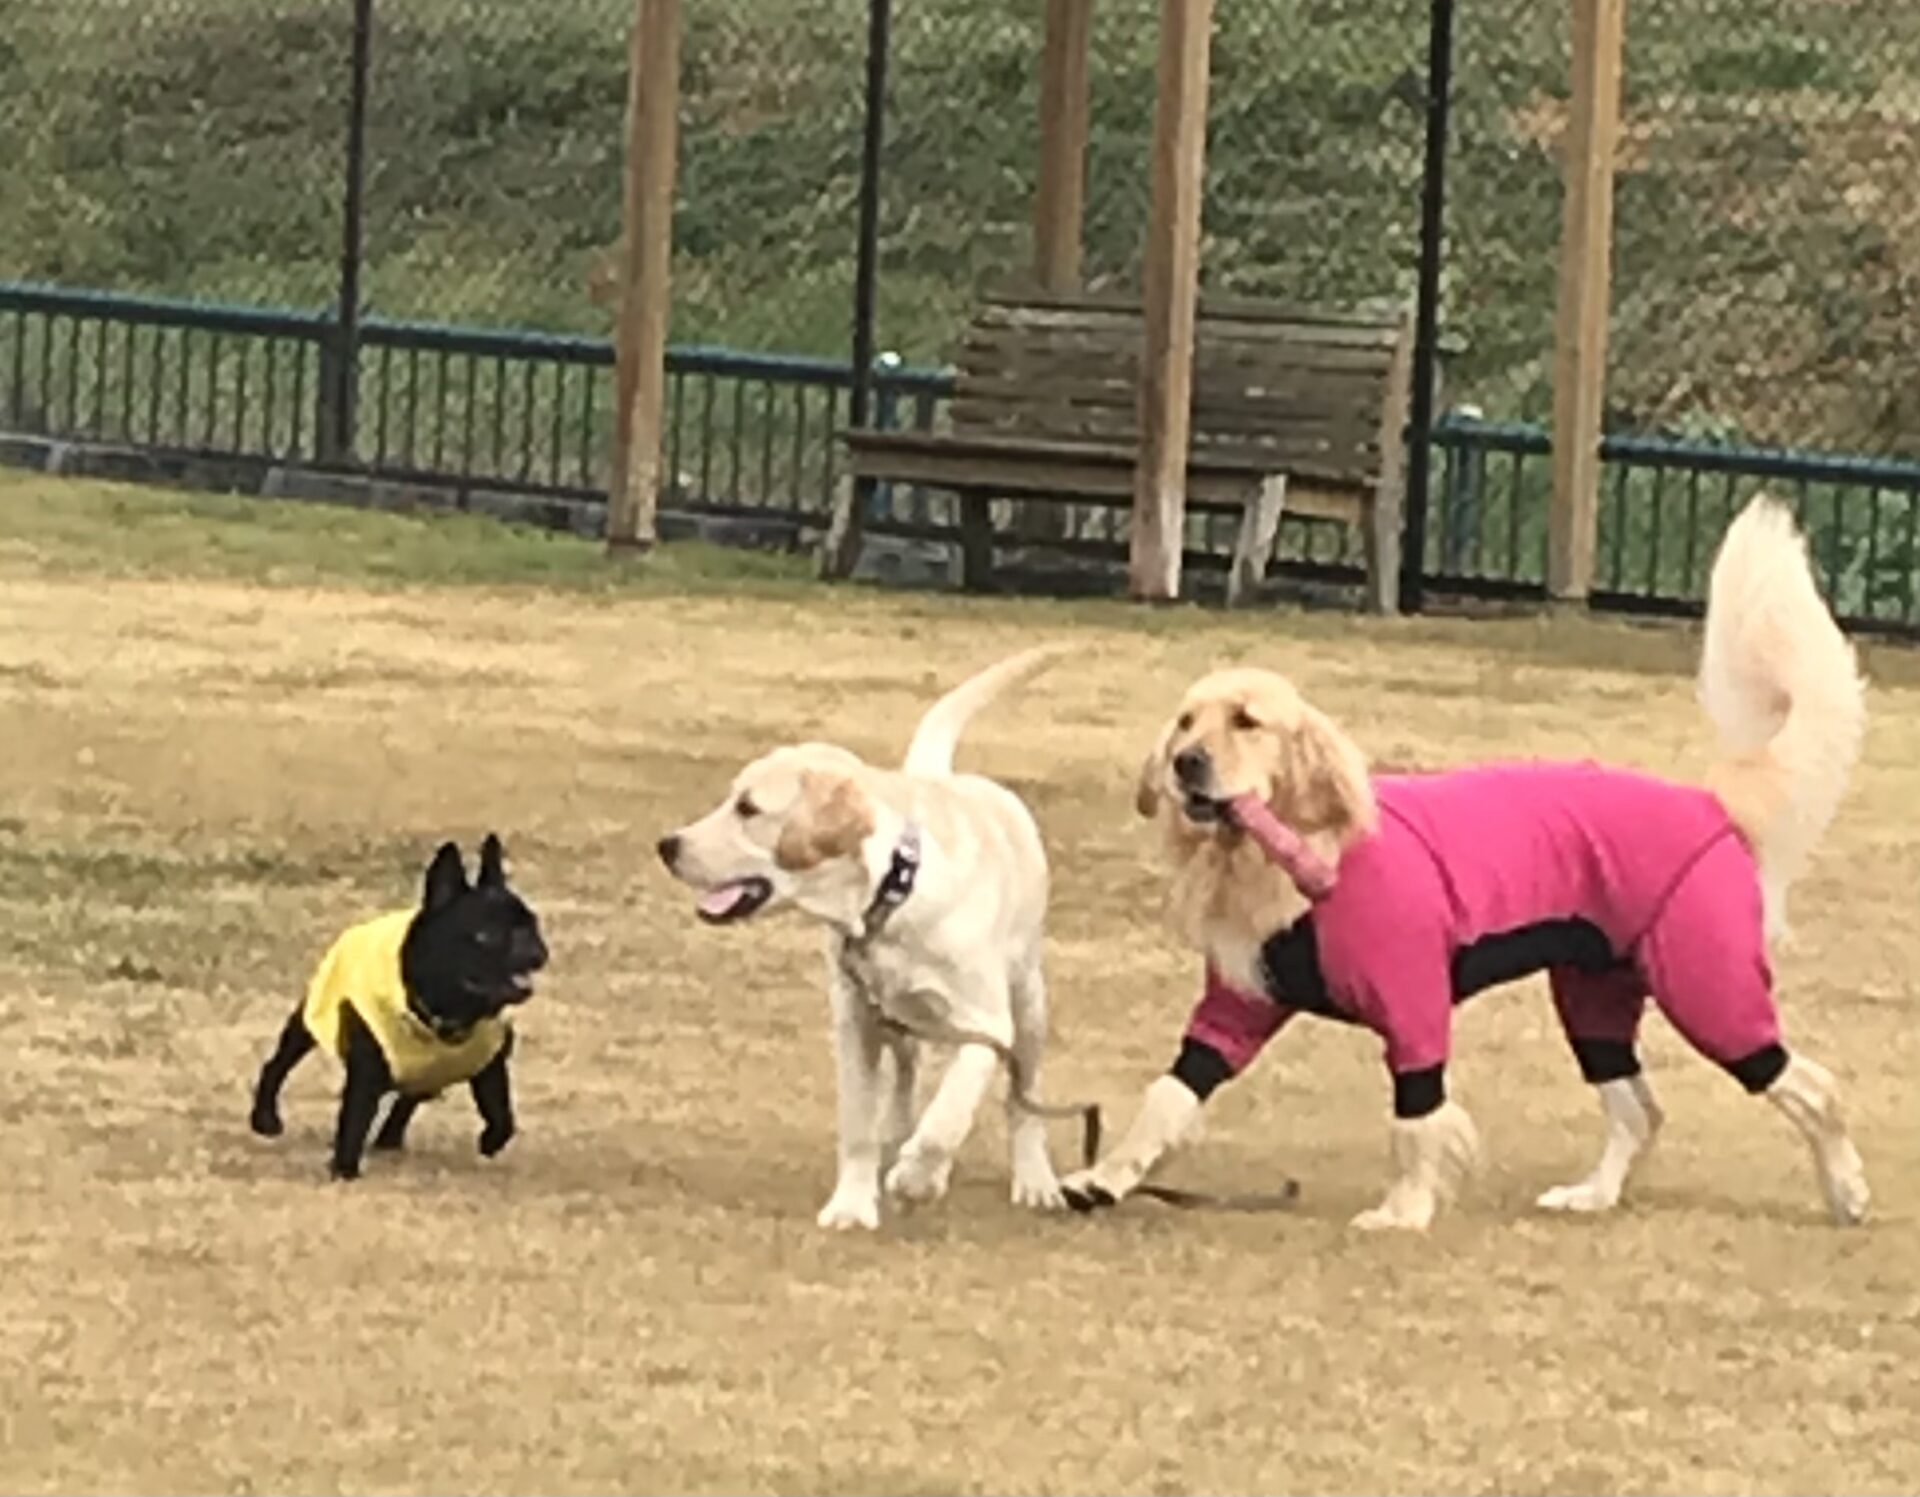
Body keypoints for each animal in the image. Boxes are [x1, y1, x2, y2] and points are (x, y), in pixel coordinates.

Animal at [249, 834, 548, 1180]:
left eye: (533, 924)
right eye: (485, 935)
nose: (537, 951)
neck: (448, 1012)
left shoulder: (490, 1064)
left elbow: (502, 1115)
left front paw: (490, 1141)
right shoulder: (365, 1074)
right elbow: (353, 1121)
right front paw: (345, 1171)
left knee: (411, 1096)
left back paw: (389, 1137)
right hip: (310, 1020)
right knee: (278, 1064)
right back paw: (265, 1118)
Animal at [658, 647, 1067, 1230]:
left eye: (748, 808)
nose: (667, 846)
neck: (894, 891)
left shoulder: (988, 1025)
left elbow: (952, 1108)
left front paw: (918, 1177)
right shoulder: (855, 1021)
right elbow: (858, 1125)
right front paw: (852, 1204)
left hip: (1029, 1005)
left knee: (1021, 1099)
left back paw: (1033, 1179)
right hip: (894, 1021)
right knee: (908, 1072)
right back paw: (898, 1135)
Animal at [1062, 495, 1871, 1230]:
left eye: (1246, 721)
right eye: (1184, 721)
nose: (1186, 764)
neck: (1295, 859)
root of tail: (1709, 799)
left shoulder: (1413, 1001)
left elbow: (1416, 1118)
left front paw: (1405, 1209)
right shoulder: (1238, 1005)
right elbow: (1171, 1093)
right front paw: (1104, 1176)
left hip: (1707, 989)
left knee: (1812, 1085)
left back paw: (1847, 1192)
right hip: (1595, 996)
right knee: (1639, 1107)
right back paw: (1592, 1194)